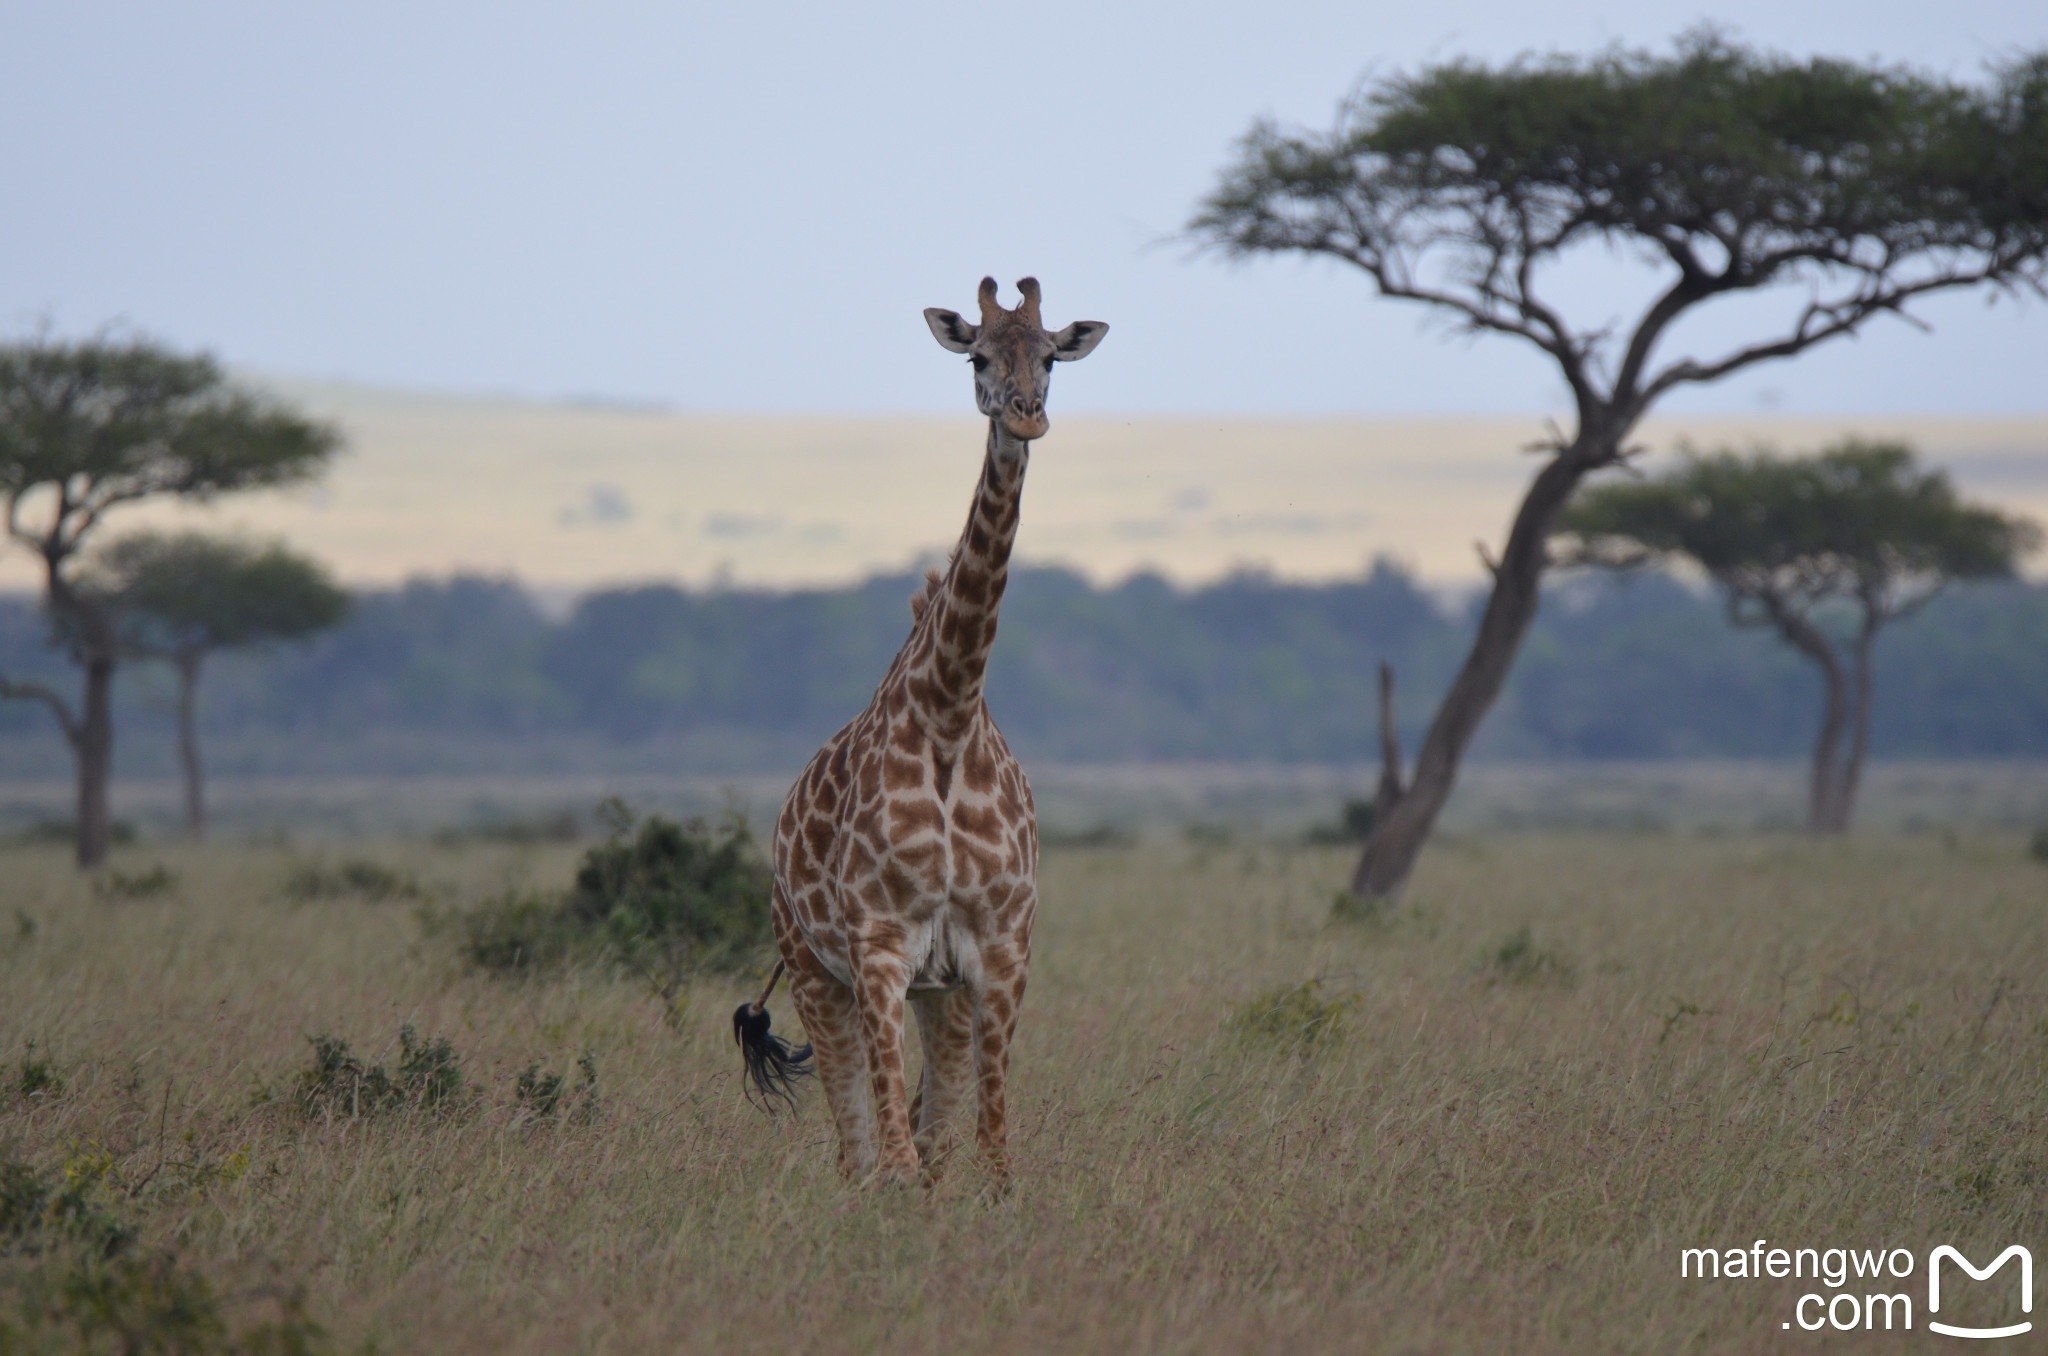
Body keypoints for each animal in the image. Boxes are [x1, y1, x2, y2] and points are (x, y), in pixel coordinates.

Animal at [737, 276, 1114, 1188]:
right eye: (976, 356)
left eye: (1051, 356)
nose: (1024, 416)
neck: (948, 711)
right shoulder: (877, 949)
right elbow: (896, 1159)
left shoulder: (999, 954)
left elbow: (990, 1153)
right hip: (813, 971)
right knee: (859, 1151)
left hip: (936, 995)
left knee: (928, 1138)